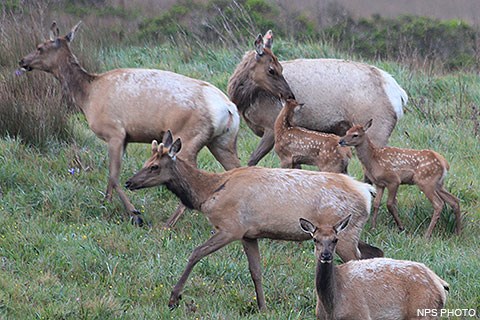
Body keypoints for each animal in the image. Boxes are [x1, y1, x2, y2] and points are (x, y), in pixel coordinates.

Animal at [19, 21, 242, 226]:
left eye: (40, 47)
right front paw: (105, 205)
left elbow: (113, 176)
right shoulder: (125, 138)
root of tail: (229, 108)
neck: (87, 96)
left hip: (189, 136)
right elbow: (111, 179)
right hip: (223, 141)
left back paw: (169, 223)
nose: (22, 60)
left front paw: (135, 213)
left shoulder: (114, 132)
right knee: (237, 166)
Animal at [124, 129, 382, 310]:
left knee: (360, 260)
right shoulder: (249, 234)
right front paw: (262, 306)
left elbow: (196, 253)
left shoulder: (231, 227)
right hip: (347, 233)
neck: (208, 192)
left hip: (344, 235)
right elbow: (256, 271)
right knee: (374, 252)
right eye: (146, 162)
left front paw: (174, 297)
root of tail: (366, 191)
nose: (129, 182)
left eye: (155, 166)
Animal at [227, 30, 406, 166]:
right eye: (272, 69)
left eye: (279, 68)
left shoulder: (271, 125)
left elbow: (252, 160)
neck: (246, 102)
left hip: (377, 129)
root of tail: (399, 95)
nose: (289, 96)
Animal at [300, 215, 450, 320]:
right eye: (315, 239)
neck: (330, 307)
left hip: (422, 311)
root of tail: (440, 285)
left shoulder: (360, 314)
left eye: (335, 239)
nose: (325, 255)